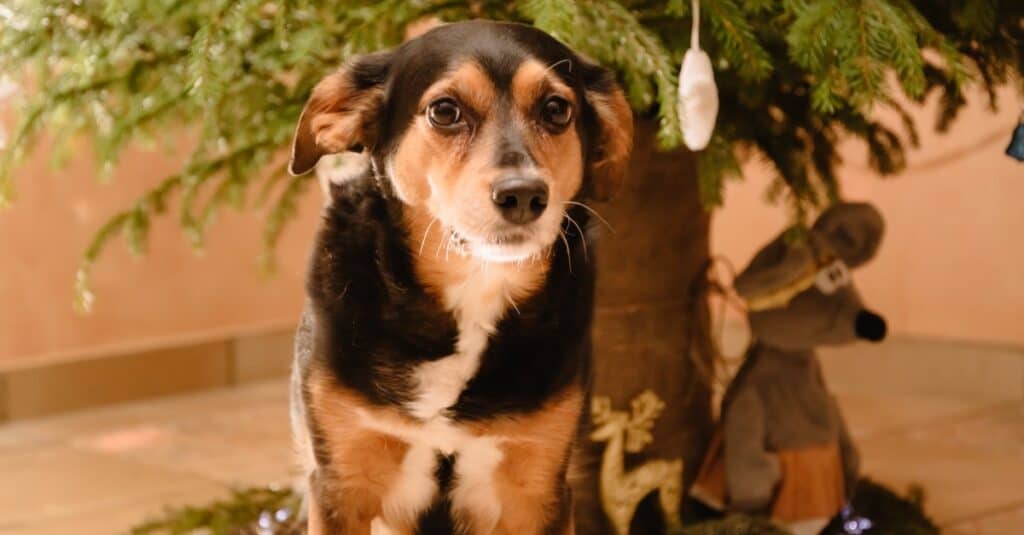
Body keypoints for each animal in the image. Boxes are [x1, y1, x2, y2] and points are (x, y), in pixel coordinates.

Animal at [288, 20, 634, 532]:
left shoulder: (538, 489)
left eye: (556, 109)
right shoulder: (342, 483)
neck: (474, 290)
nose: (524, 195)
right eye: (445, 111)